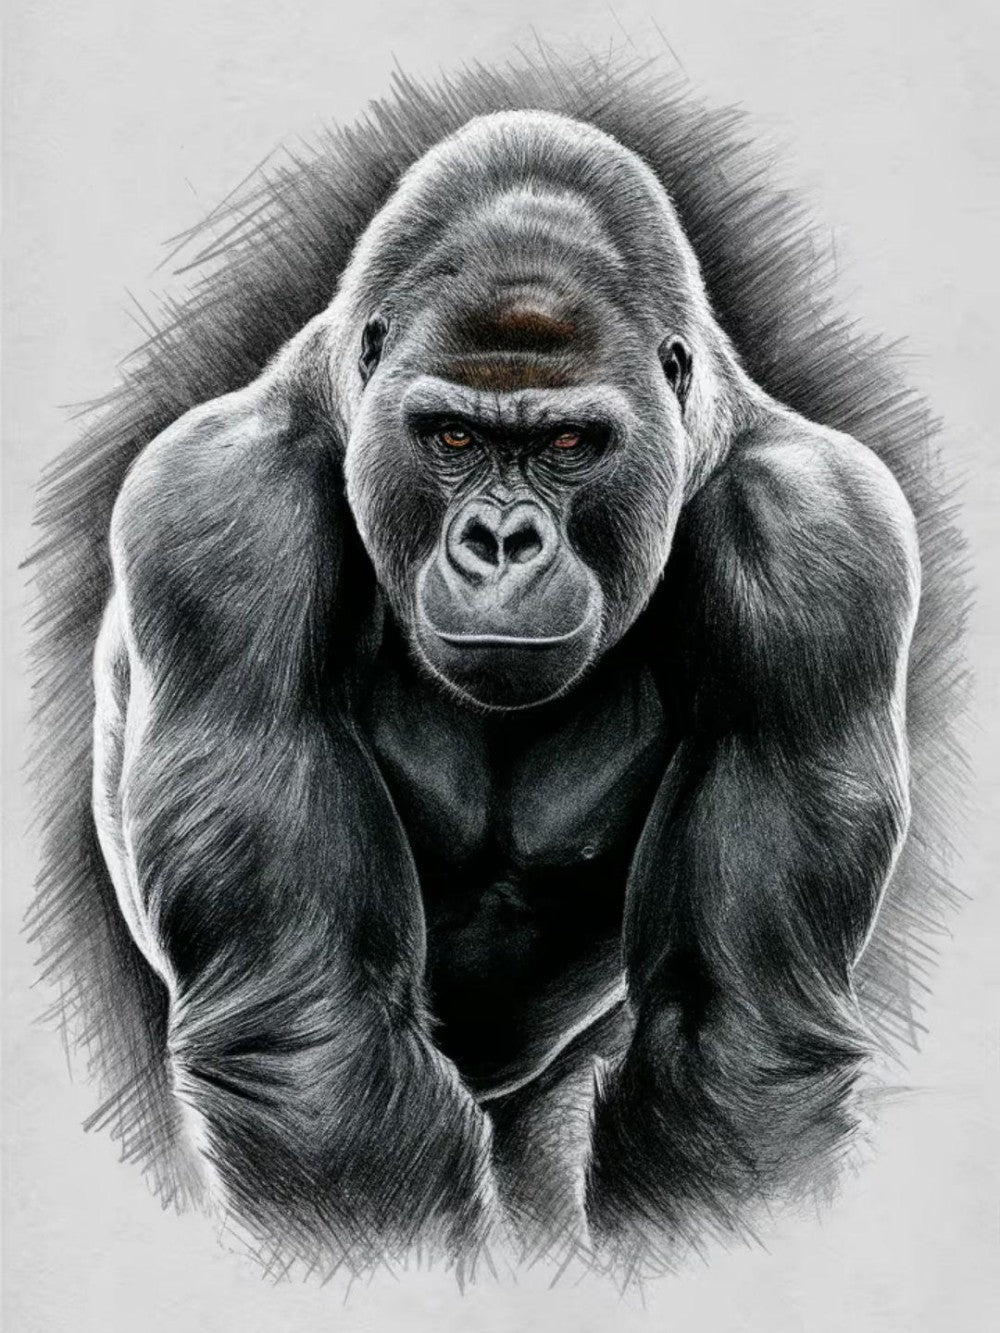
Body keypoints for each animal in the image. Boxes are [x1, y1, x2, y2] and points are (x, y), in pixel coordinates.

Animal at [88, 109, 919, 1261]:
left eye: (569, 442)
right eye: (453, 436)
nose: (500, 540)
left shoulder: (821, 542)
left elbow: (739, 1038)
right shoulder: (217, 518)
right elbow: (307, 1034)